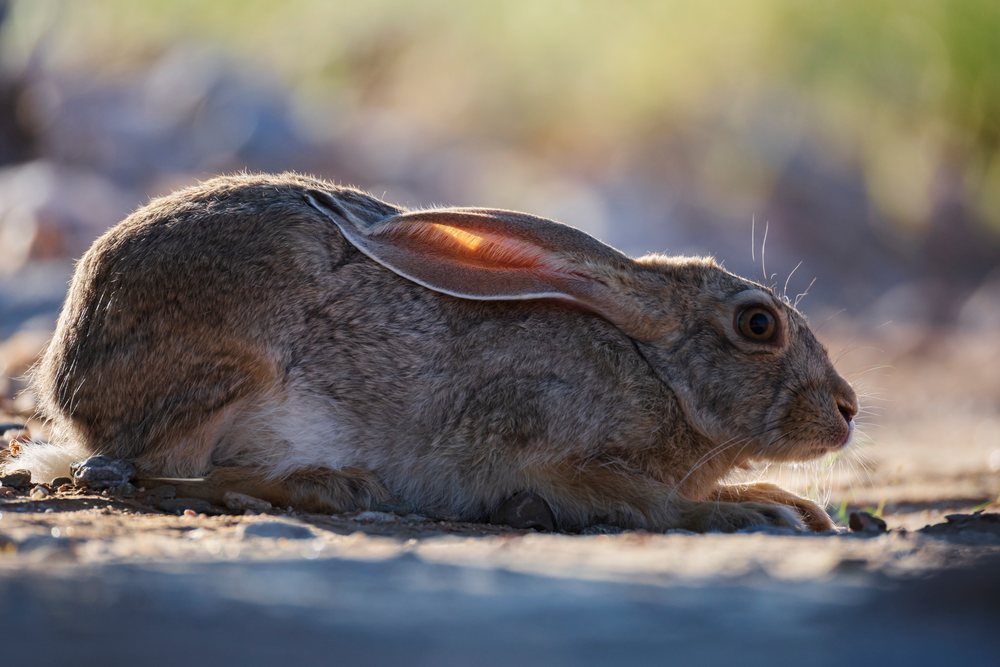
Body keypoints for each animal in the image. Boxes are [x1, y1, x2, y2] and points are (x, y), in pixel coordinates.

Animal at [11, 172, 858, 532]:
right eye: (758, 325)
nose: (848, 409)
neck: (657, 372)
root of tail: (67, 384)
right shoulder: (552, 447)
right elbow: (650, 502)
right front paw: (762, 513)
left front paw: (785, 502)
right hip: (230, 371)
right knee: (149, 470)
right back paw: (329, 486)